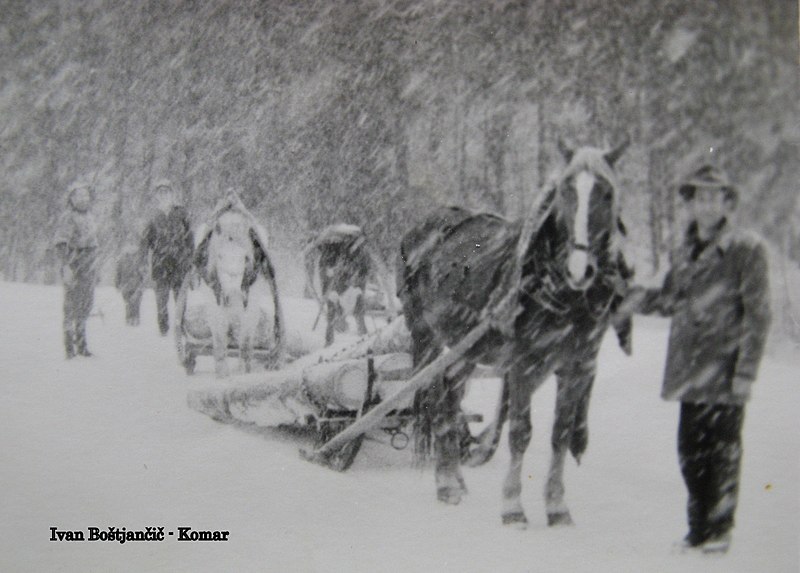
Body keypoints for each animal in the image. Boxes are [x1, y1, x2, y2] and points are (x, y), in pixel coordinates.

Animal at [194, 194, 284, 378]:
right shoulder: (215, 311)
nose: (232, 293)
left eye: (245, 258)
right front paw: (222, 376)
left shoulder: (250, 311)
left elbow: (245, 348)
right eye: (219, 256)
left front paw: (243, 373)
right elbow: (220, 347)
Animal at [396, 140, 636, 528]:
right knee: (435, 403)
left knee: (451, 399)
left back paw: (456, 479)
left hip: (465, 348)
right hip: (426, 338)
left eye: (607, 193)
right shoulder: (524, 365)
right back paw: (444, 485)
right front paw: (512, 508)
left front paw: (557, 507)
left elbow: (559, 435)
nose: (580, 269)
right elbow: (520, 433)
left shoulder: (576, 368)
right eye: (565, 191)